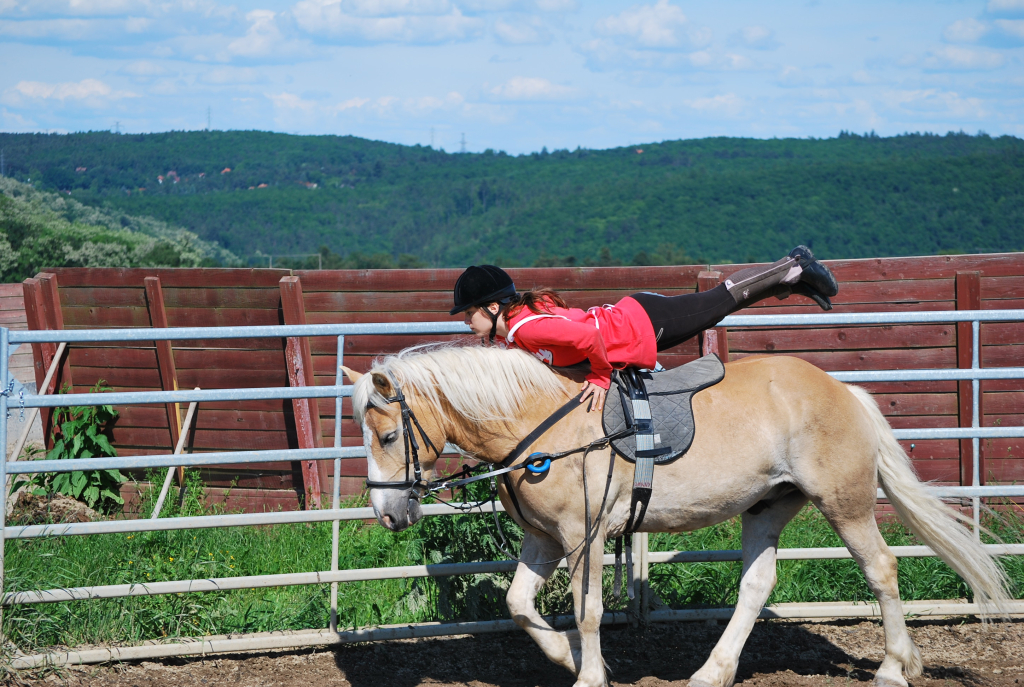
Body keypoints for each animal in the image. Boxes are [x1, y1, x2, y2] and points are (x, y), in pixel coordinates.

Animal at [342, 346, 1007, 687]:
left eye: (387, 433)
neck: (540, 425)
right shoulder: (546, 541)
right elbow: (519, 604)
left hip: (843, 502)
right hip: (767, 506)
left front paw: (589, 674)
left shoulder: (583, 537)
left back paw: (894, 667)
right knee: (756, 585)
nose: (388, 513)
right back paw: (712, 672)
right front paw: (570, 658)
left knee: (882, 569)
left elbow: (587, 611)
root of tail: (843, 391)